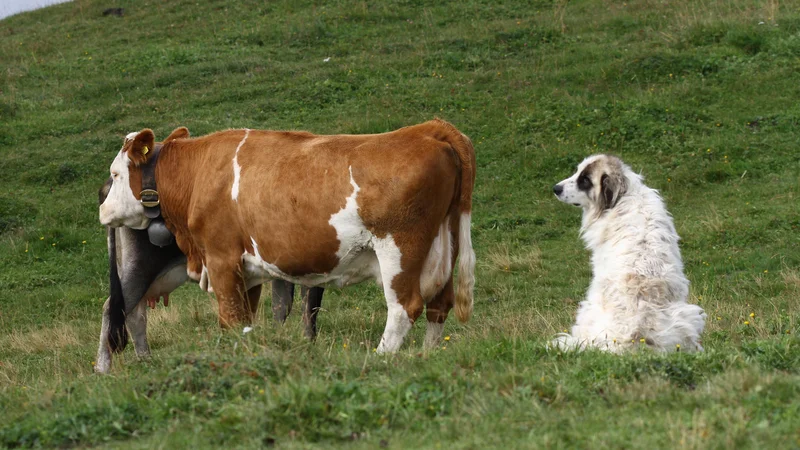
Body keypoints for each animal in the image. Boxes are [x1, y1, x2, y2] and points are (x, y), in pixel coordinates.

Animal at [99, 120, 476, 356]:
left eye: (115, 174)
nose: (102, 209)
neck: (197, 175)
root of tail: (429, 129)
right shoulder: (246, 271)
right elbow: (243, 320)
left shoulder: (221, 259)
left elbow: (231, 319)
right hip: (445, 243)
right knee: (439, 305)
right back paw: (425, 357)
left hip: (400, 249)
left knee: (404, 307)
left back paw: (382, 357)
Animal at [552, 156, 708, 354]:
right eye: (577, 171)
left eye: (585, 180)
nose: (556, 188)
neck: (624, 195)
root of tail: (634, 336)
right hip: (689, 315)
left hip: (586, 310)